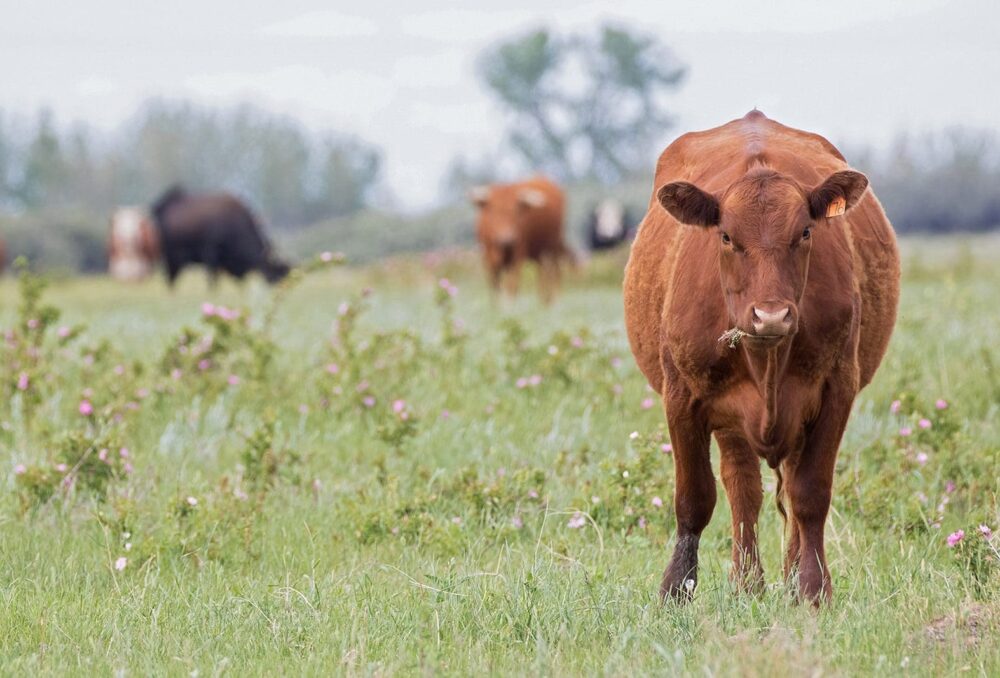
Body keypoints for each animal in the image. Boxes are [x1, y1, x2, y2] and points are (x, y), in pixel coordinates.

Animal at [624, 111, 900, 604]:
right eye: (726, 236)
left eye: (805, 232)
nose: (770, 315)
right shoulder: (682, 397)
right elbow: (694, 498)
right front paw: (676, 588)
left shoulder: (836, 390)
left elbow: (810, 494)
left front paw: (812, 588)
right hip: (731, 421)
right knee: (743, 488)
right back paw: (746, 583)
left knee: (785, 485)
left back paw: (784, 578)